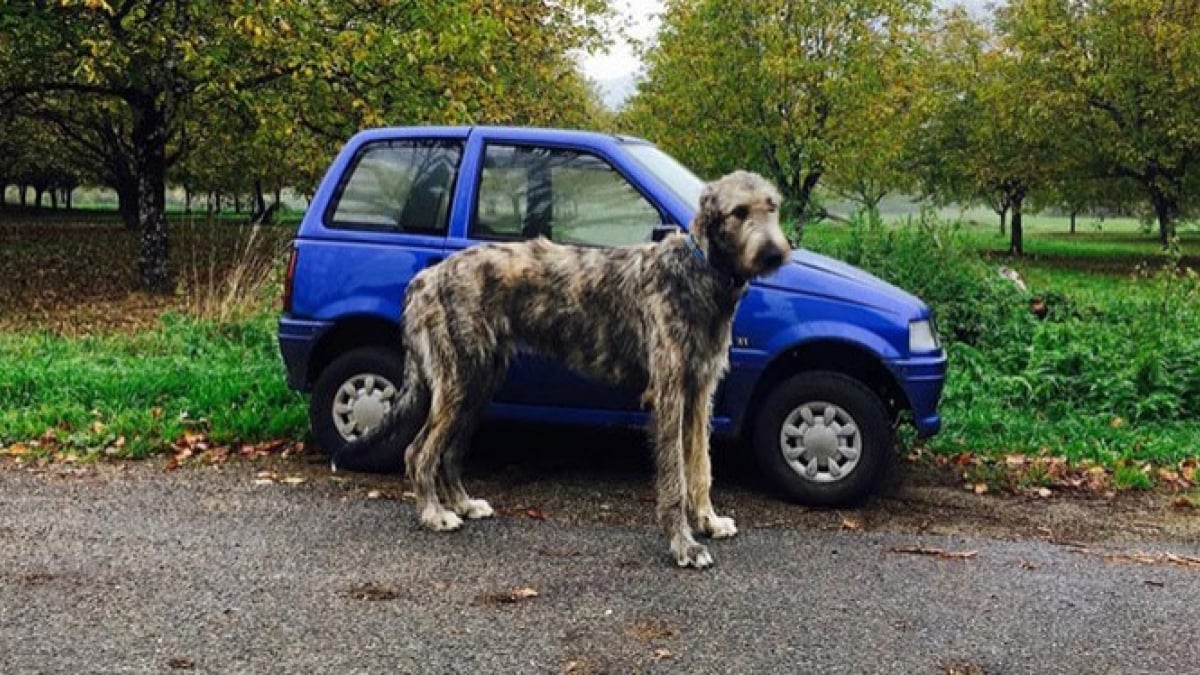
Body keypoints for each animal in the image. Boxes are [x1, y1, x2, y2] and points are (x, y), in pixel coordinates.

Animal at [336, 169, 787, 566]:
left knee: (449, 451)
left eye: (773, 206)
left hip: (479, 383)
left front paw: (709, 521)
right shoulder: (669, 393)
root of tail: (425, 278)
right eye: (738, 211)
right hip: (458, 381)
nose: (775, 253)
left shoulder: (699, 392)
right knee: (419, 451)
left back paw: (463, 503)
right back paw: (434, 514)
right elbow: (675, 475)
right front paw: (684, 546)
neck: (698, 270)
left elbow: (701, 466)